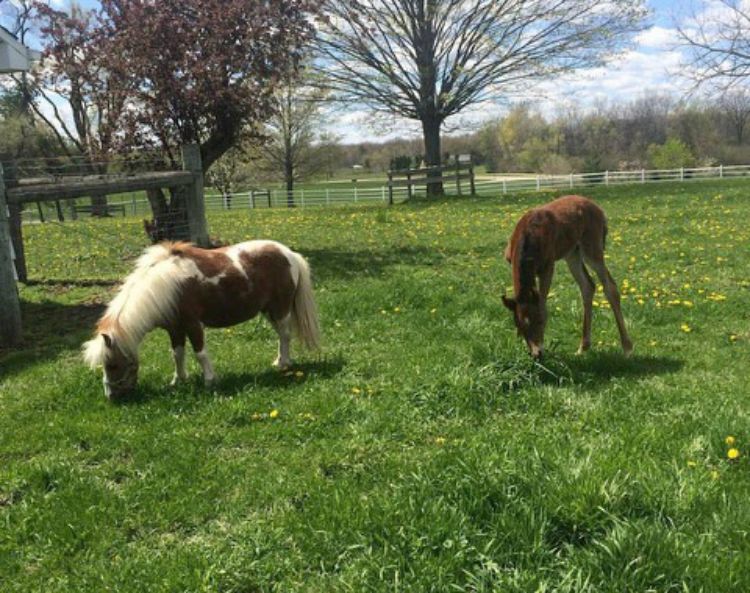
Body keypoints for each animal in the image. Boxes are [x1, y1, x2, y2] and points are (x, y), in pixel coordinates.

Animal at [83, 240, 321, 400]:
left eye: (112, 365)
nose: (111, 396)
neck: (166, 286)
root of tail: (289, 253)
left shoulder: (193, 324)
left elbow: (200, 354)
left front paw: (209, 381)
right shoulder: (175, 329)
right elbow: (177, 354)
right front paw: (178, 380)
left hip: (280, 309)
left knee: (285, 335)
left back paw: (283, 364)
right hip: (269, 311)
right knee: (281, 335)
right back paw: (279, 361)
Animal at [502, 195, 633, 359]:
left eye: (540, 321)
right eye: (519, 326)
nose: (537, 354)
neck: (527, 238)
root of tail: (599, 209)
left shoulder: (548, 266)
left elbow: (543, 303)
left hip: (592, 248)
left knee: (610, 287)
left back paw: (627, 348)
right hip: (572, 254)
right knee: (587, 285)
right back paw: (582, 348)